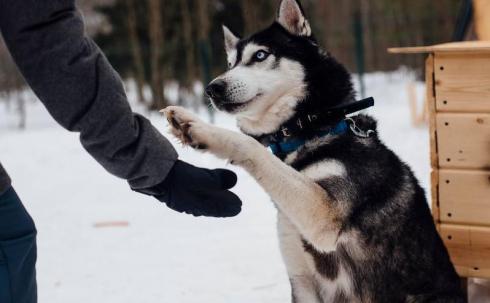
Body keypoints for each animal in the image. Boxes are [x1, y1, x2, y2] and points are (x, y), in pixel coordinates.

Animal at [164, 0, 464, 302]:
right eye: (230, 64)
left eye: (260, 55)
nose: (212, 88)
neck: (308, 131)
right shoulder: (302, 281)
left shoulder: (323, 215)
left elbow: (251, 146)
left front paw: (198, 128)